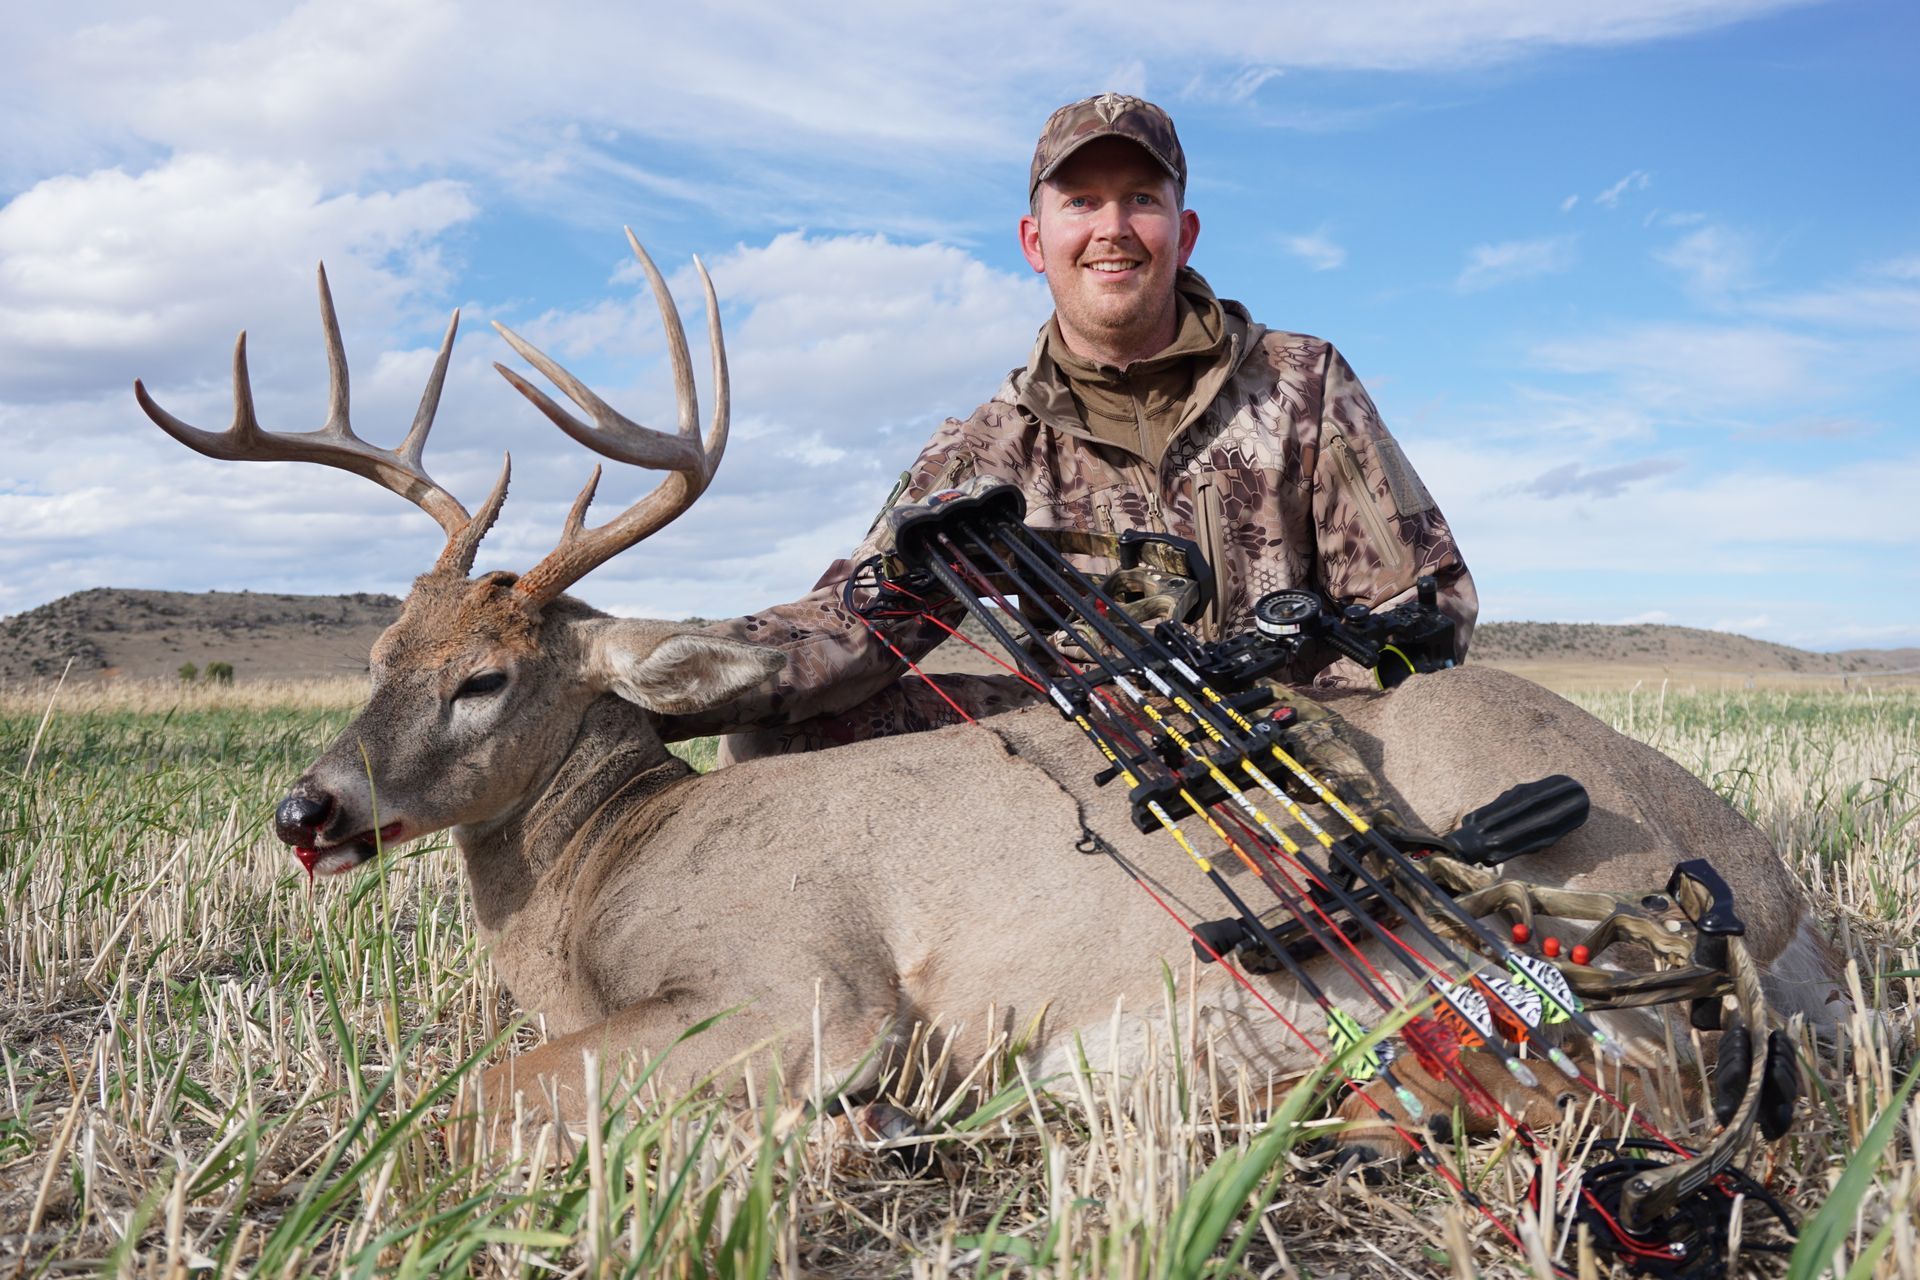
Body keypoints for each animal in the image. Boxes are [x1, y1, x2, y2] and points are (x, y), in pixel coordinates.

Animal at [135, 232, 1844, 1163]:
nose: (308, 809)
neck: (602, 880)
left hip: (1579, 894)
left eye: (486, 677)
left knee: (1647, 1067)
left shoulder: (804, 987)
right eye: (378, 656)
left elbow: (472, 1103)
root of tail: (1774, 886)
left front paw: (838, 1130)